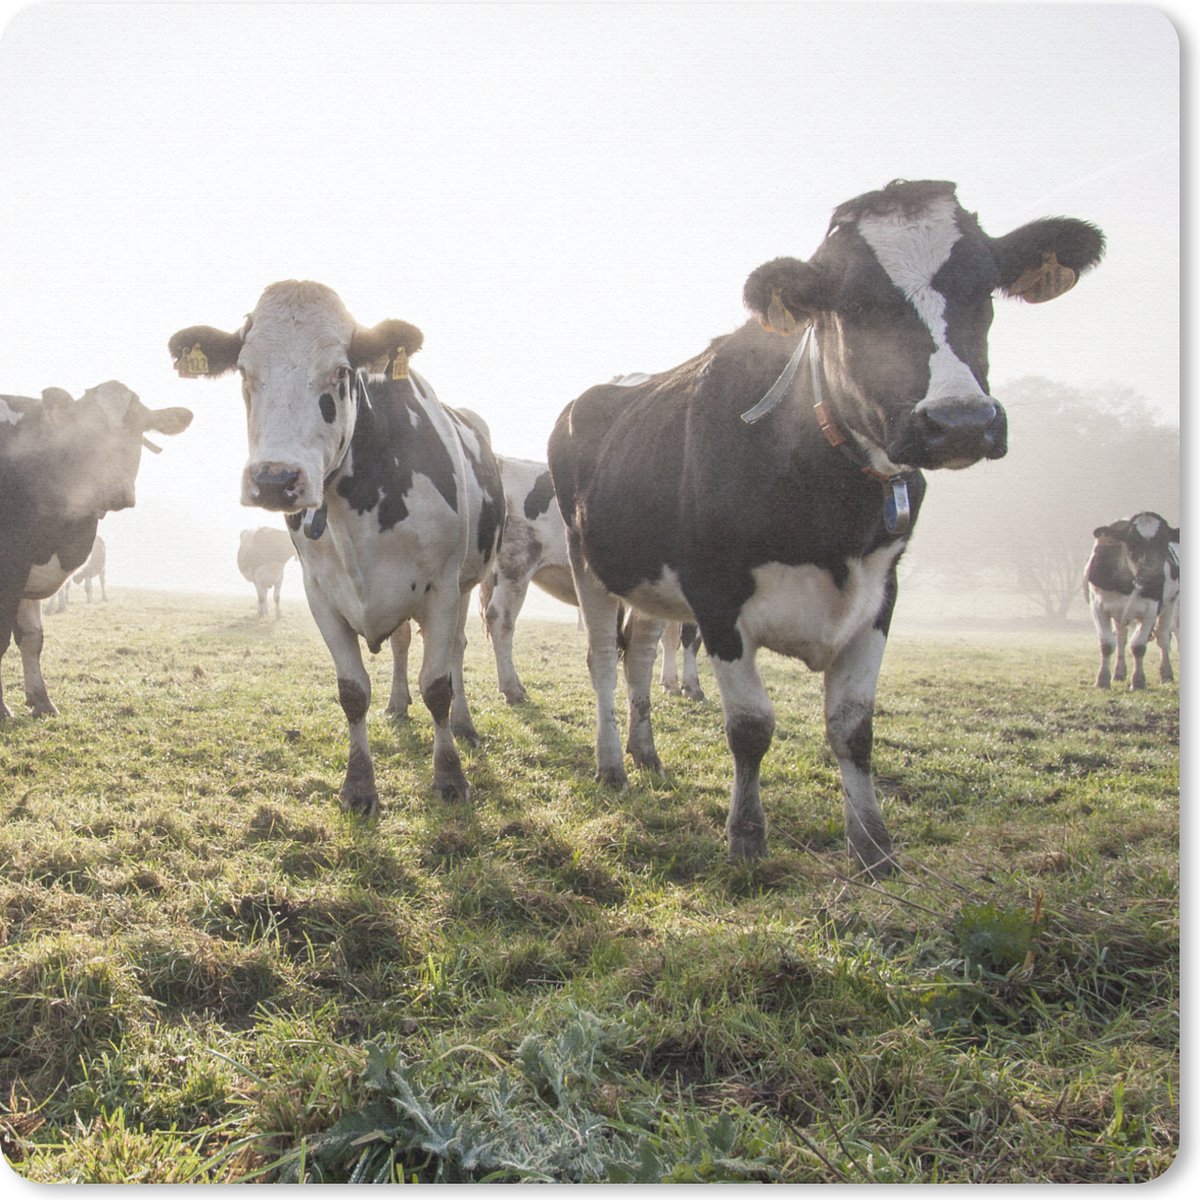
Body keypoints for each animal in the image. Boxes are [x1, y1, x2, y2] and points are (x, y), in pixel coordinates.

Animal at [1, 383, 192, 718]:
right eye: (85, 431)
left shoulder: (29, 568)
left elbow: (32, 637)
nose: (116, 489)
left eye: (138, 425)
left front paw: (41, 701)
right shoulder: (9, 567)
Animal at [169, 280, 504, 812]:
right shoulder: (320, 593)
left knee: (455, 650)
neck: (361, 504)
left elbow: (438, 687)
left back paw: (465, 726)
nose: (275, 479)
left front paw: (450, 776)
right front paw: (359, 784)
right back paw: (397, 704)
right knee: (402, 644)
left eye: (341, 371)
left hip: (469, 581)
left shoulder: (442, 588)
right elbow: (352, 692)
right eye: (244, 371)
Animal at [548, 178, 1104, 878]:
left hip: (651, 579)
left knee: (640, 656)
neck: (829, 499)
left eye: (983, 289)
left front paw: (873, 847)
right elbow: (751, 726)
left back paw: (646, 755)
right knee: (602, 658)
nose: (961, 421)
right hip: (588, 561)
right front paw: (747, 838)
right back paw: (612, 764)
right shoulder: (716, 592)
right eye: (856, 304)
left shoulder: (881, 591)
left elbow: (852, 727)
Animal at [1085, 512, 1180, 689]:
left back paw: (1166, 674)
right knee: (1121, 639)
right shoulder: (1097, 607)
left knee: (1163, 638)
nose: (1153, 578)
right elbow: (1107, 644)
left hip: (1170, 604)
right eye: (1132, 543)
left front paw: (1138, 681)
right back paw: (1119, 673)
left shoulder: (1151, 610)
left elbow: (1138, 646)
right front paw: (1102, 680)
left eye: (1164, 543)